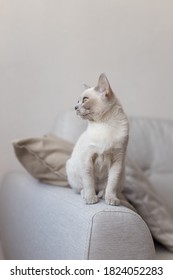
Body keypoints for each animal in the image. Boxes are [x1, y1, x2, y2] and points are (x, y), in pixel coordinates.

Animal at [66, 73, 128, 206]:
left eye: (85, 100)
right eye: (77, 101)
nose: (75, 107)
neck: (104, 125)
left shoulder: (117, 160)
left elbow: (111, 185)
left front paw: (111, 199)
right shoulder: (87, 159)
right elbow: (89, 182)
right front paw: (90, 199)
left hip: (122, 174)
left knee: (104, 188)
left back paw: (103, 195)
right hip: (72, 168)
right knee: (82, 188)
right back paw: (88, 195)